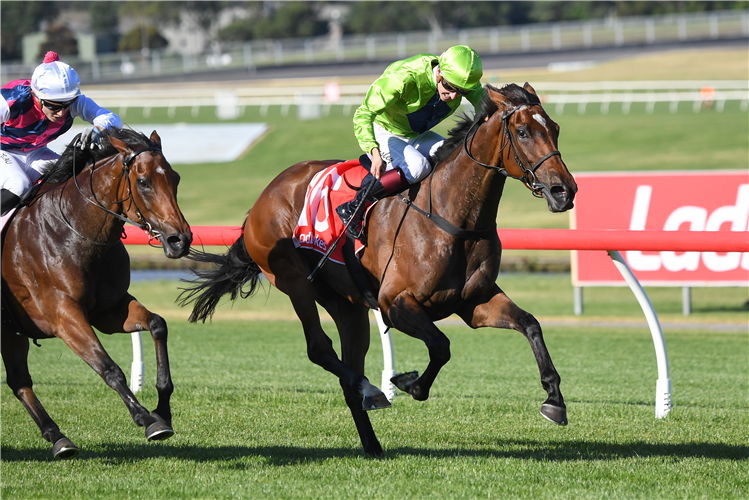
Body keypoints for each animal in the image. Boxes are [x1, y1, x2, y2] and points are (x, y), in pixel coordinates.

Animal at [1, 128, 193, 458]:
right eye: (143, 182)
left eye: (176, 178)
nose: (179, 239)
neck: (73, 231)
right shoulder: (64, 315)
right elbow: (109, 368)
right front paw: (145, 418)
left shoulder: (109, 310)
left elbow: (157, 325)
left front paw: (163, 410)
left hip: (11, 331)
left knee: (19, 381)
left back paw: (58, 438)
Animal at [183, 84, 580, 456]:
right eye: (523, 132)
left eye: (556, 129)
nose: (565, 191)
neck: (451, 215)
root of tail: (263, 197)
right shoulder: (395, 303)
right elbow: (441, 345)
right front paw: (408, 384)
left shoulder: (475, 302)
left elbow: (530, 324)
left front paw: (554, 400)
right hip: (296, 282)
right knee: (319, 349)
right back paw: (372, 391)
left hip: (347, 305)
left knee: (348, 367)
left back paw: (372, 442)